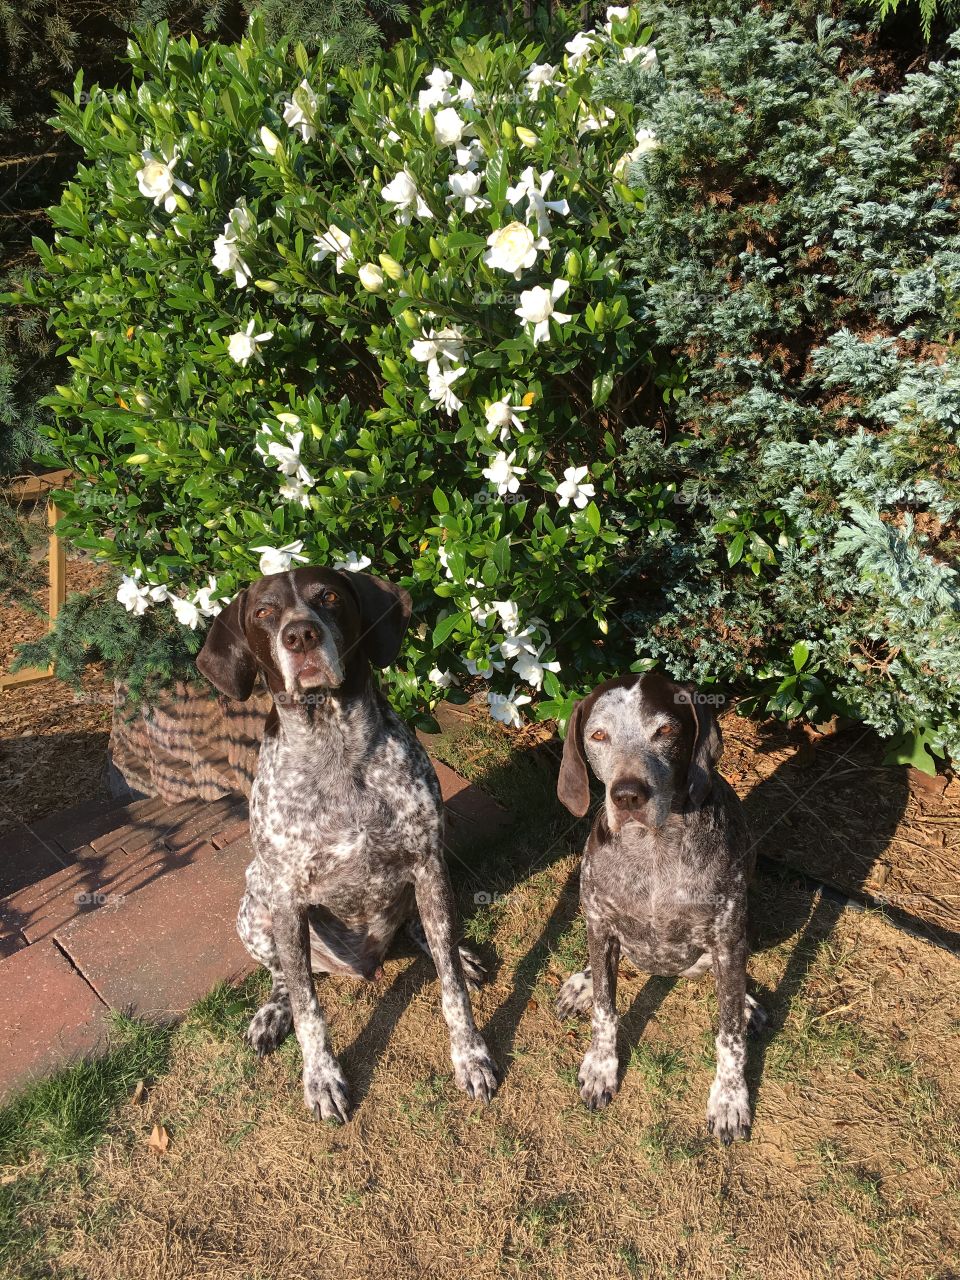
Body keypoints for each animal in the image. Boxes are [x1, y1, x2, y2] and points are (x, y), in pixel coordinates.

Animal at [194, 568, 496, 1121]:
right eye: (264, 612)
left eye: (329, 597)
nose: (300, 635)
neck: (334, 747)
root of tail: (363, 966)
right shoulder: (286, 898)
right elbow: (309, 1009)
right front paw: (322, 1079)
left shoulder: (427, 864)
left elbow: (452, 989)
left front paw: (471, 1055)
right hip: (254, 905)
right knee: (285, 976)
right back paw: (273, 1012)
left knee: (424, 935)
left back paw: (452, 952)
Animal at [555, 675, 768, 1146]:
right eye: (598, 735)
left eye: (666, 730)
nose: (627, 795)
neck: (651, 851)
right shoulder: (601, 924)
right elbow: (605, 1009)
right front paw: (601, 1066)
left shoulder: (728, 938)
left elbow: (729, 1036)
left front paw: (729, 1098)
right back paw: (582, 982)